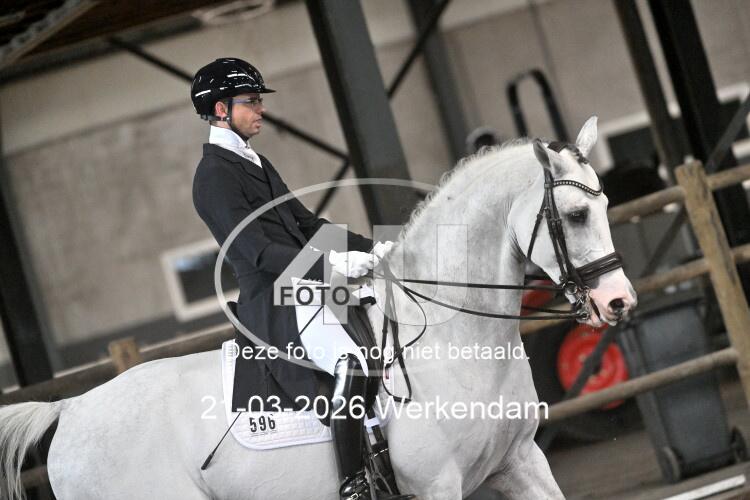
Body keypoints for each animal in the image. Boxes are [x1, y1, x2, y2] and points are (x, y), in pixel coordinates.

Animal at [0, 116, 636, 499]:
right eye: (576, 215)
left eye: (605, 203)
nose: (620, 302)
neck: (452, 341)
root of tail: (71, 409)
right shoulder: (437, 485)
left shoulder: (520, 461)